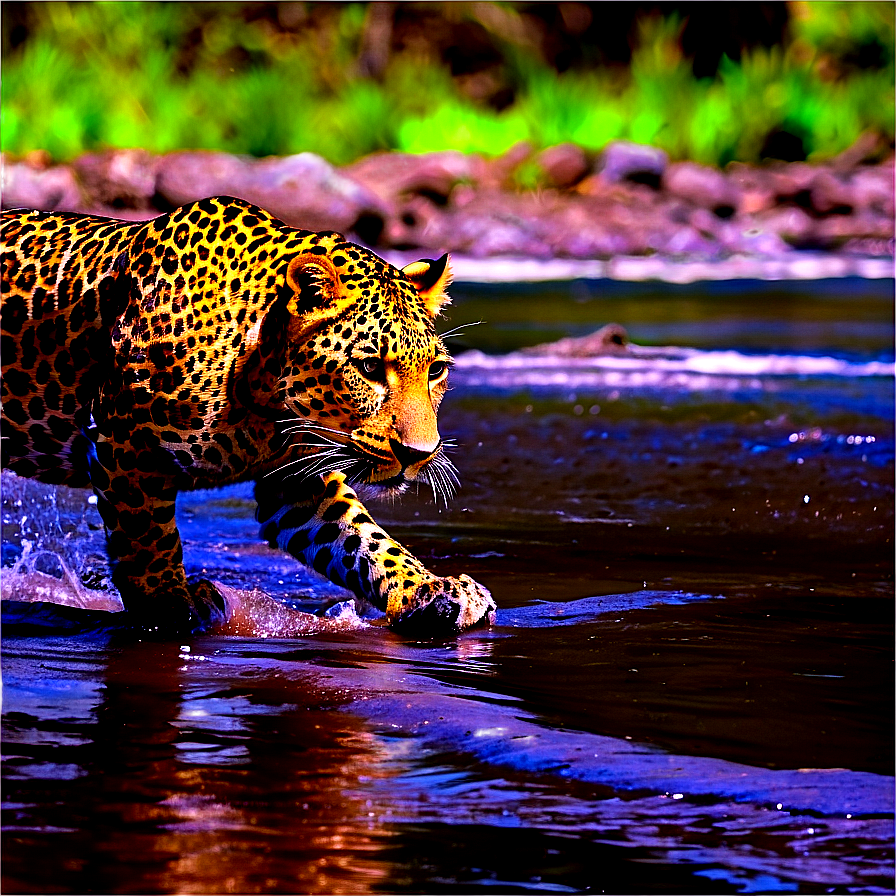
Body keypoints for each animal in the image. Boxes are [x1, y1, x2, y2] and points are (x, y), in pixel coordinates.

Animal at [0, 194, 496, 636]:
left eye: (435, 370)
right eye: (370, 368)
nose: (418, 454)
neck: (263, 398)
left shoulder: (297, 482)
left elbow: (365, 540)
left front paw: (433, 590)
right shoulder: (122, 442)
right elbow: (148, 540)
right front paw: (172, 609)